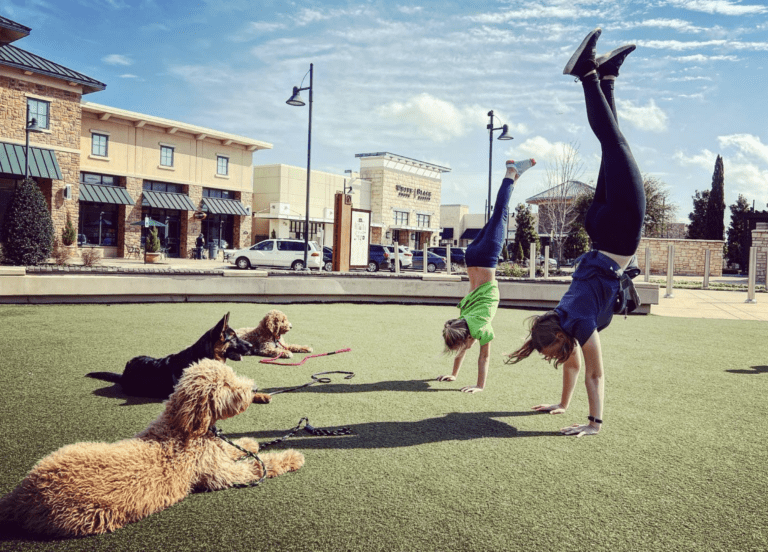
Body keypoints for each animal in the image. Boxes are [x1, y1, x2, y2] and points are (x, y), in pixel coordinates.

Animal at [0, 358, 306, 536]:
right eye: (227, 385)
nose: (252, 389)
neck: (185, 428)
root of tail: (21, 497)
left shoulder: (215, 452)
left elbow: (233, 447)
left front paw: (249, 441)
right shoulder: (221, 473)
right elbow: (258, 465)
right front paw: (292, 456)